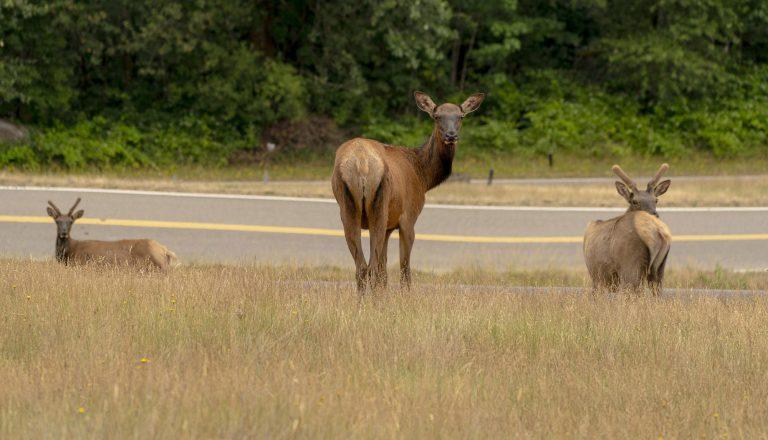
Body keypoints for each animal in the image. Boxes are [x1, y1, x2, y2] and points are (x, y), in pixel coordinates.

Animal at [331, 91, 485, 293]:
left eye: (460, 116)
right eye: (437, 116)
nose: (451, 135)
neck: (423, 176)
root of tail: (361, 162)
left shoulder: (390, 226)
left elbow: (384, 271)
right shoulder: (408, 217)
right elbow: (405, 270)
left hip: (348, 208)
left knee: (362, 267)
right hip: (379, 208)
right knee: (372, 267)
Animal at [583, 164, 672, 295]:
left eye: (656, 200)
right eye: (635, 201)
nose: (654, 214)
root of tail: (656, 233)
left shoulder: (597, 277)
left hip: (629, 268)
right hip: (659, 270)